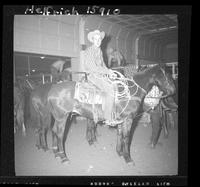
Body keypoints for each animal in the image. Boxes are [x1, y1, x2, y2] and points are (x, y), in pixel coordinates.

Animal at [43, 65, 173, 164]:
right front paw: (128, 158)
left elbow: (120, 135)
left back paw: (56, 153)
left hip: (59, 118)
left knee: (54, 131)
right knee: (60, 135)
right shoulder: (128, 119)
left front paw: (119, 153)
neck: (130, 92)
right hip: (62, 118)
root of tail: (52, 90)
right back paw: (63, 157)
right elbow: (126, 137)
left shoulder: (121, 120)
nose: (173, 91)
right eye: (168, 76)